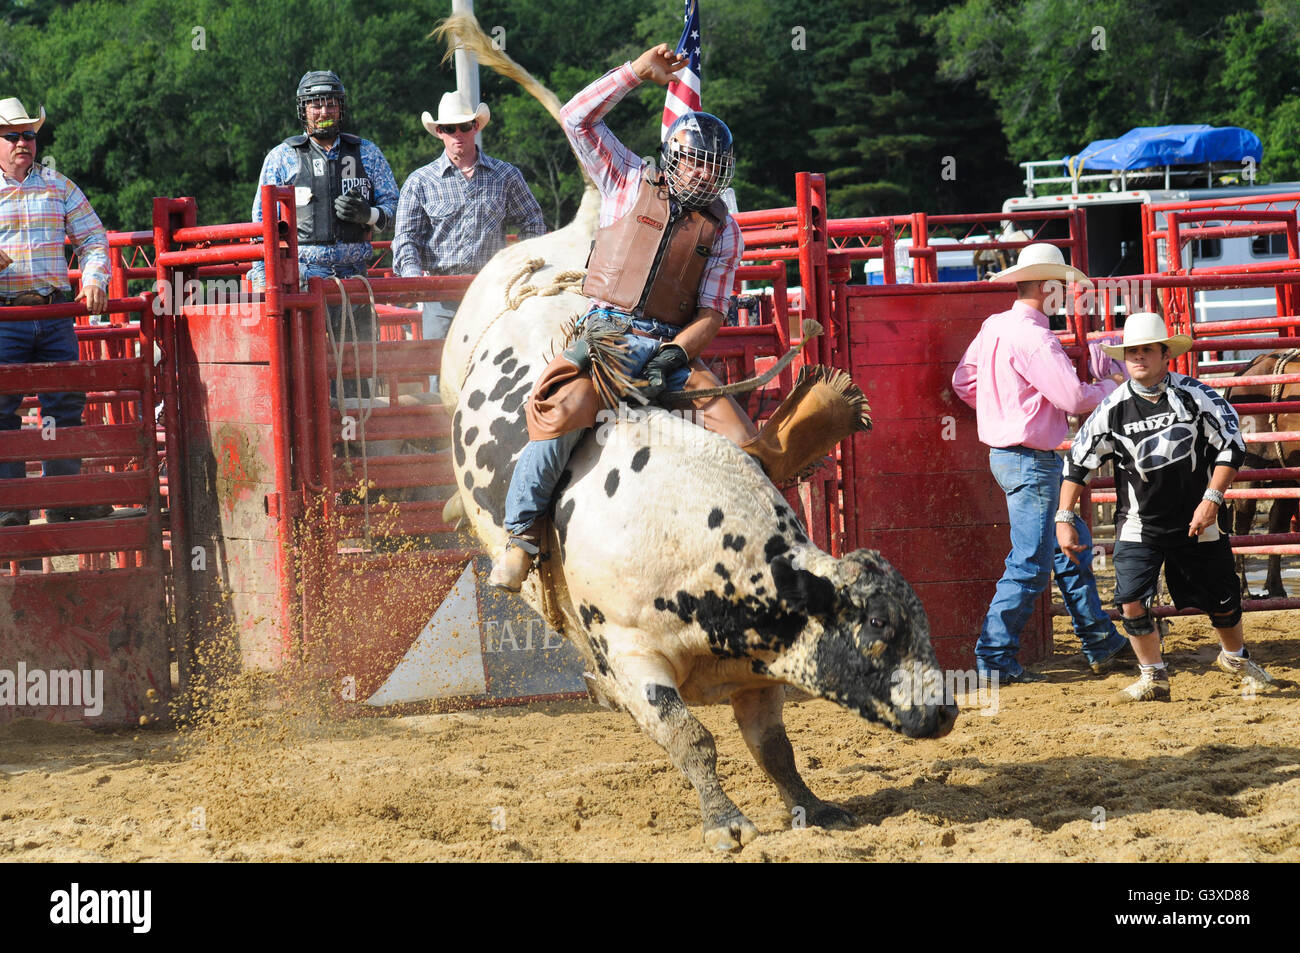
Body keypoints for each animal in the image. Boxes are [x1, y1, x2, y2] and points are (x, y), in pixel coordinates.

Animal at [436, 13, 956, 847]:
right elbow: (691, 736)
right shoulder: (633, 655)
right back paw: (501, 546)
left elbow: (771, 745)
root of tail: (577, 237)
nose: (942, 710)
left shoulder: (759, 671)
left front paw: (813, 808)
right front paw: (726, 822)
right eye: (878, 625)